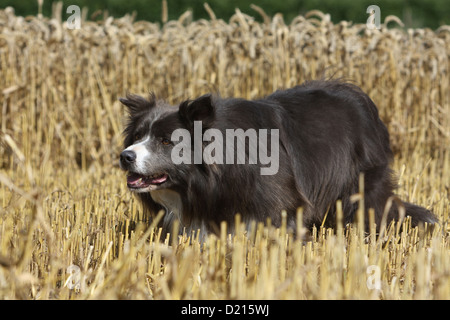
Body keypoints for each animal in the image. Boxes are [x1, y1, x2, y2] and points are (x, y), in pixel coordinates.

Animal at [118, 79, 436, 235]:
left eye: (165, 141)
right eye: (137, 136)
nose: (125, 156)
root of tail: (361, 101)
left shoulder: (275, 197)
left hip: (359, 180)